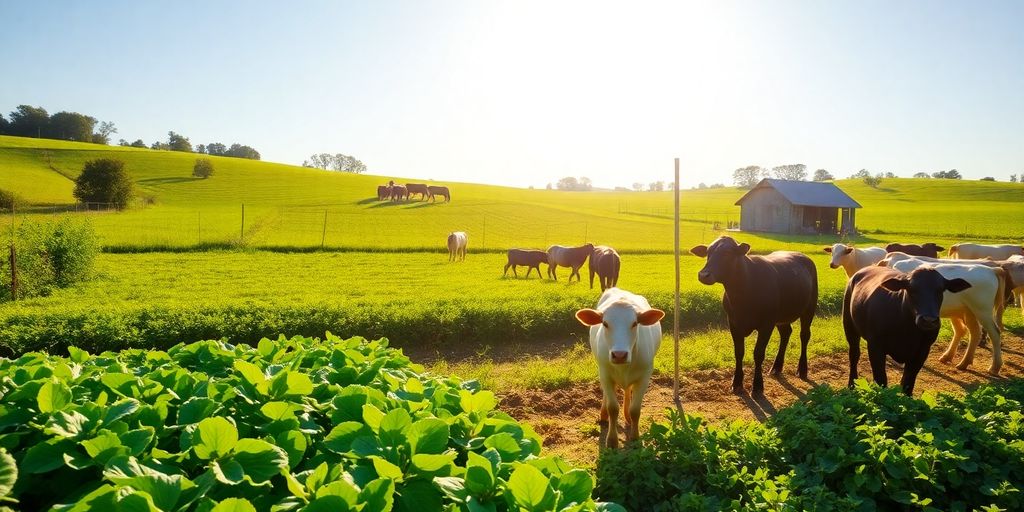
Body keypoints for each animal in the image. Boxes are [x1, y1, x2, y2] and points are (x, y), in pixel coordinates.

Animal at [577, 288, 663, 448]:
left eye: (635, 323)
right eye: (605, 323)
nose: (619, 355)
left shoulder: (645, 376)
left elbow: (635, 410)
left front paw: (635, 437)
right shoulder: (604, 373)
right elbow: (613, 408)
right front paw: (611, 440)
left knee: (628, 390)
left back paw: (627, 416)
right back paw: (603, 414)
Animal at [688, 235, 815, 395]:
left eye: (727, 253)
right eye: (708, 253)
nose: (703, 275)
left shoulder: (766, 324)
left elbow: (758, 353)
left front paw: (757, 386)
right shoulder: (733, 323)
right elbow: (739, 352)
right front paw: (736, 383)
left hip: (809, 309)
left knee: (804, 335)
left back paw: (802, 369)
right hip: (782, 317)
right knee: (786, 333)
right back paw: (776, 367)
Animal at [843, 264, 970, 395]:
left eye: (941, 290)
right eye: (912, 289)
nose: (929, 320)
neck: (907, 330)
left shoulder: (922, 350)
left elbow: (908, 383)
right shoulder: (875, 346)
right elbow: (881, 379)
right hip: (849, 325)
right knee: (854, 355)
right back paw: (852, 384)